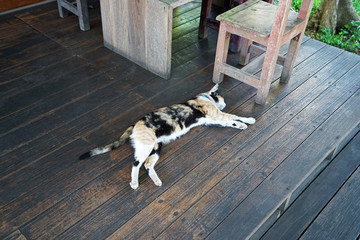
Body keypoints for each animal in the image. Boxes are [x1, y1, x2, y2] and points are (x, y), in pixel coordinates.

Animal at [79, 84, 256, 189]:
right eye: (222, 98)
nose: (224, 103)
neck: (204, 97)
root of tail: (134, 124)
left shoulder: (213, 120)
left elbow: (232, 121)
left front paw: (242, 124)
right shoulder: (217, 115)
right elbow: (234, 116)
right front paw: (248, 120)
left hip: (156, 148)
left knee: (147, 165)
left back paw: (157, 181)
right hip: (146, 146)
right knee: (136, 163)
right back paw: (135, 182)